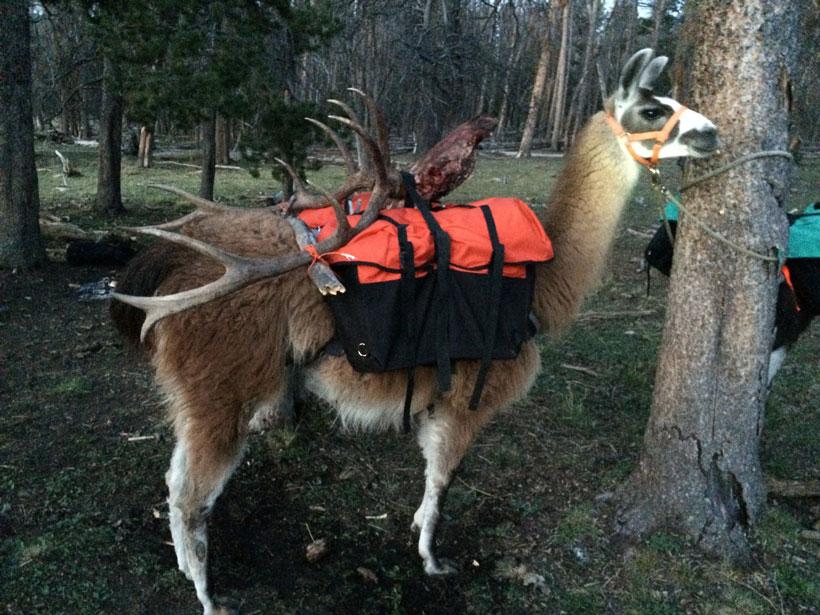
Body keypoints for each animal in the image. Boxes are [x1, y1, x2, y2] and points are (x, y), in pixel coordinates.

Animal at [111, 50, 718, 614]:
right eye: (652, 109)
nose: (711, 133)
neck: (543, 281)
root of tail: (172, 272)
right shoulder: (470, 399)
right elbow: (442, 479)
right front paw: (432, 560)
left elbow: (430, 476)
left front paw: (418, 536)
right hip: (222, 389)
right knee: (188, 495)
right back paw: (209, 596)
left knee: (174, 479)